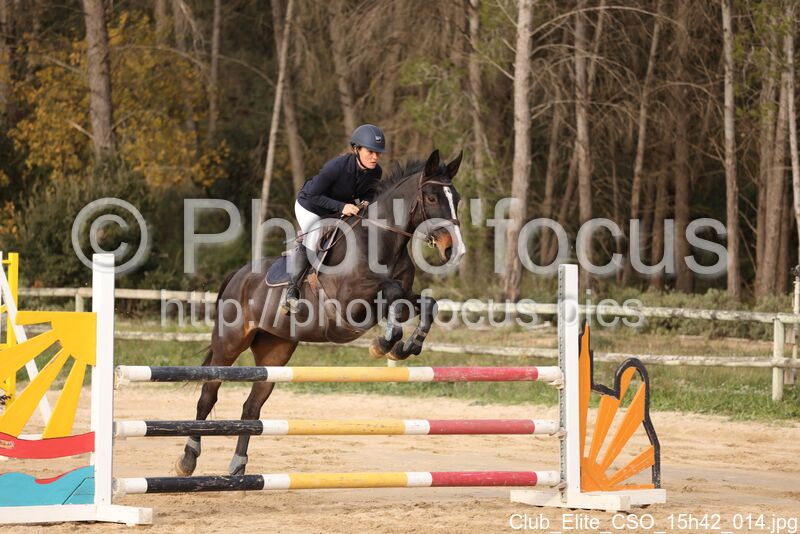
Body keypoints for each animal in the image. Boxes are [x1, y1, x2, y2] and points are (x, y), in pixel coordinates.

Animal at [176, 149, 465, 477]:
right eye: (431, 197)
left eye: (456, 198)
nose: (453, 250)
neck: (382, 242)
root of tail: (237, 276)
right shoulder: (350, 301)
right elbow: (390, 292)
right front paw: (384, 343)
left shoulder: (400, 295)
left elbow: (426, 304)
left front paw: (405, 346)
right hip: (229, 343)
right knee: (207, 395)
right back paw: (188, 459)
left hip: (275, 351)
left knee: (252, 407)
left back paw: (238, 464)